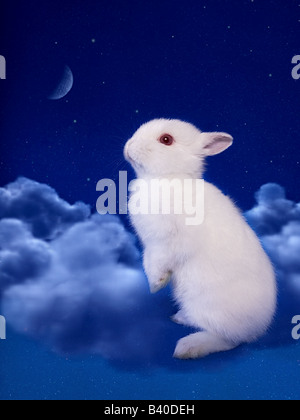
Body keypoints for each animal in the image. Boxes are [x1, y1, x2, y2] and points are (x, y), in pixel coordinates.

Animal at [123, 119, 276, 360]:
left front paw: (157, 284)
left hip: (210, 310)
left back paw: (188, 347)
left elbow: (160, 262)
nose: (128, 146)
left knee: (228, 339)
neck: (169, 179)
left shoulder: (167, 243)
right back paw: (180, 317)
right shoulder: (150, 246)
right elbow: (148, 262)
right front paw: (154, 286)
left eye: (166, 139)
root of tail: (258, 328)